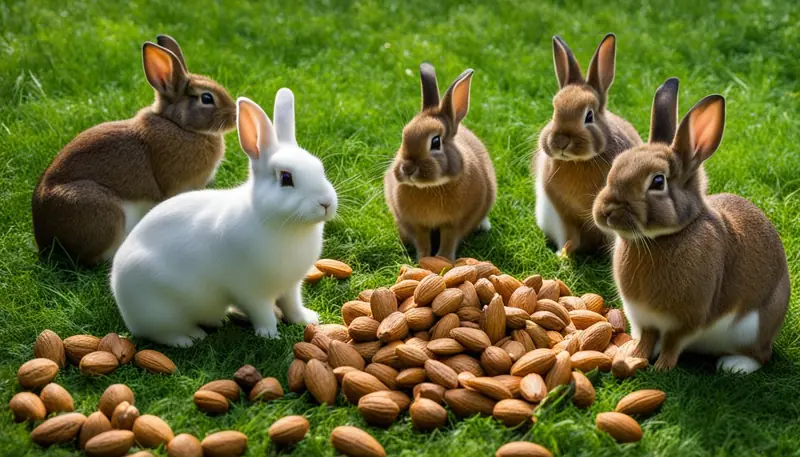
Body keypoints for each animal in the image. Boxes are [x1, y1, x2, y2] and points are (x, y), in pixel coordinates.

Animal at [110, 90, 337, 347]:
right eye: (286, 178)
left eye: (319, 167)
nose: (326, 203)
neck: (284, 226)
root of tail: (119, 295)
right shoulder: (250, 291)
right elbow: (262, 313)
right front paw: (269, 334)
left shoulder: (291, 286)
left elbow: (293, 305)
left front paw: (307, 320)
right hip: (160, 310)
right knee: (160, 333)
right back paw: (189, 338)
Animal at [384, 63, 496, 260]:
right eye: (403, 136)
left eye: (436, 142)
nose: (407, 168)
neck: (430, 188)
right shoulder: (416, 225)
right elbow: (422, 241)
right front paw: (423, 260)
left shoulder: (456, 223)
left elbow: (449, 240)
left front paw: (444, 260)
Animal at [533, 33, 642, 256]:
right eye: (554, 111)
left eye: (589, 116)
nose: (560, 141)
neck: (579, 162)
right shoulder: (563, 213)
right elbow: (570, 236)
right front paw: (563, 256)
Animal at [593, 77, 790, 373]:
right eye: (616, 165)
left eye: (658, 181)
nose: (605, 211)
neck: (663, 237)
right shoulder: (644, 318)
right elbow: (647, 338)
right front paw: (635, 356)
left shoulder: (688, 318)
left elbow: (673, 343)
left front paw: (662, 368)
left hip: (755, 327)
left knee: (761, 356)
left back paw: (734, 365)